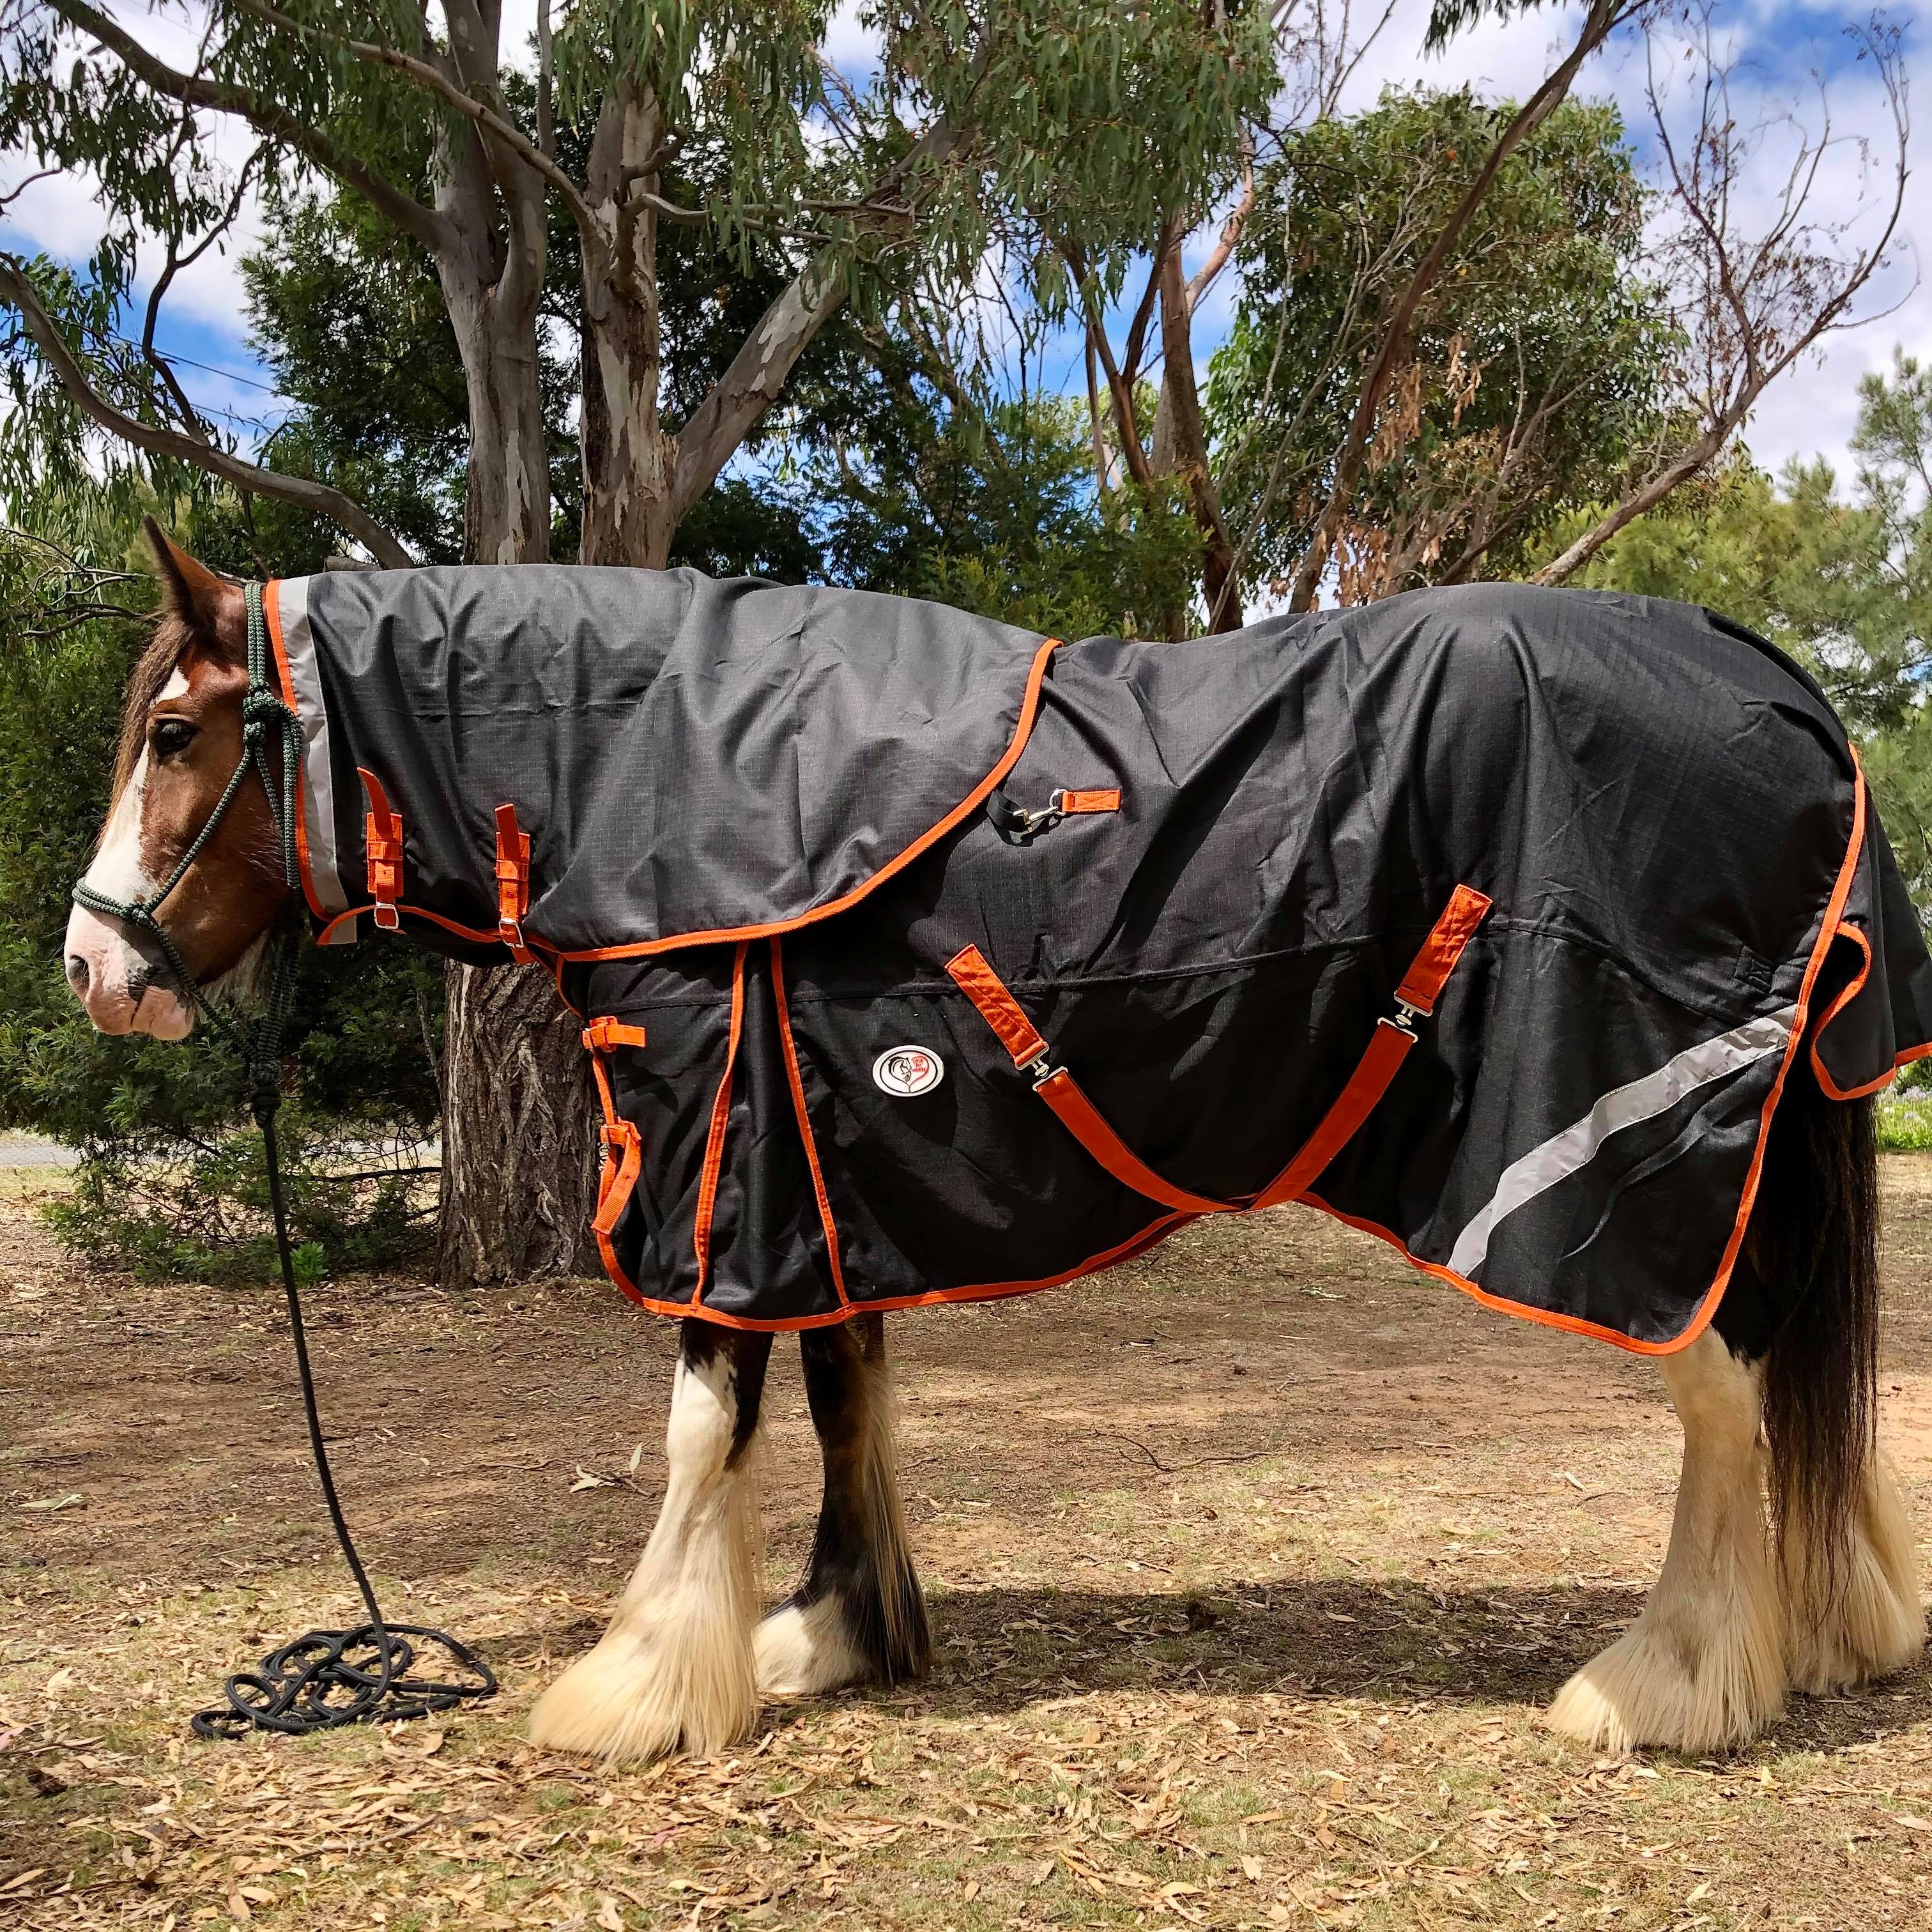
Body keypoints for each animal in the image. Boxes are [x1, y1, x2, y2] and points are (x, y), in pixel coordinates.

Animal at [63, 521, 1926, 1762]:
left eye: (174, 735)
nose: (93, 970)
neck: (653, 754)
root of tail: (1779, 691)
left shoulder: (721, 1154)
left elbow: (705, 1417)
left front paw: (638, 1688)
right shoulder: (818, 1167)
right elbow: (840, 1399)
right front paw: (830, 1637)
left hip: (1631, 1178)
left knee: (1727, 1389)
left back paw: (1664, 1685)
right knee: (1784, 1391)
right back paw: (1826, 1635)